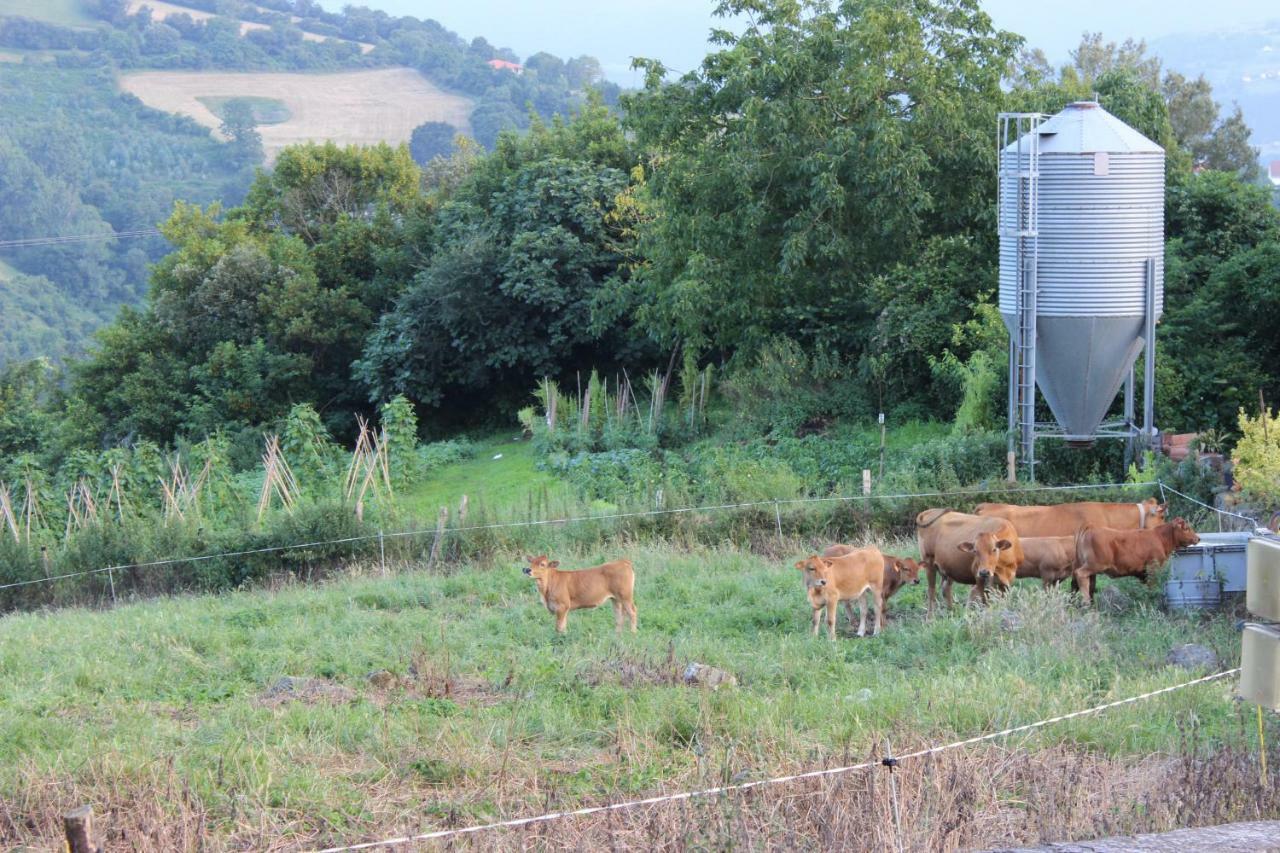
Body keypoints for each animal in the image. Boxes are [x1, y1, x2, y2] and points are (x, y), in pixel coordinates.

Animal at [1070, 514, 1198, 601]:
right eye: (1186, 528)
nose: (1198, 538)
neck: (1160, 538)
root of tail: (1091, 526)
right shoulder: (1153, 567)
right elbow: (1153, 586)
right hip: (1094, 565)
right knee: (1080, 575)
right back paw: (1086, 603)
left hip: (1085, 566)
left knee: (1079, 583)